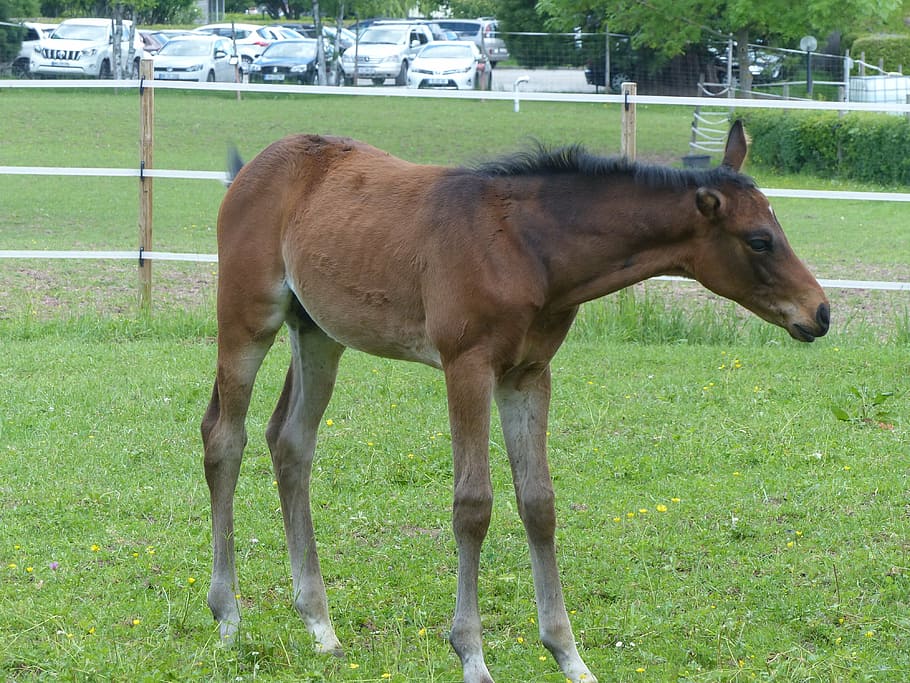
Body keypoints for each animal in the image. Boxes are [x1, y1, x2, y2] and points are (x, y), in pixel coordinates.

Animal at [201, 121, 829, 683]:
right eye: (760, 240)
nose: (820, 313)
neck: (528, 247)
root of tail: (253, 168)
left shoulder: (528, 374)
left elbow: (539, 503)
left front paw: (569, 656)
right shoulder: (467, 366)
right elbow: (473, 505)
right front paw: (471, 656)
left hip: (318, 333)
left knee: (290, 442)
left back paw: (320, 626)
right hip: (247, 319)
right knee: (224, 438)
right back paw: (228, 616)